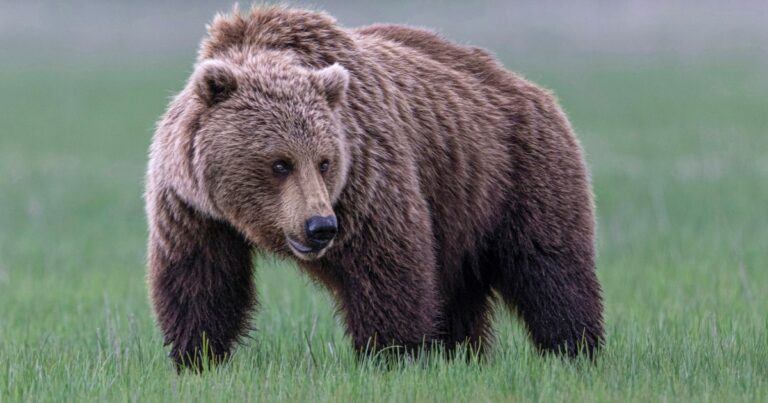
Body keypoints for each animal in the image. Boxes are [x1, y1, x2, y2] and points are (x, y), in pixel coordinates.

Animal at [145, 5, 604, 369]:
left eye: (325, 161)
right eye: (279, 163)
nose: (320, 227)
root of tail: (529, 86)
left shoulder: (365, 176)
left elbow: (386, 264)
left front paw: (392, 353)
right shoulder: (192, 207)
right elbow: (201, 279)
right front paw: (196, 355)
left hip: (516, 171)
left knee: (549, 266)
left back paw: (574, 348)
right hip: (460, 207)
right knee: (459, 289)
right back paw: (460, 351)